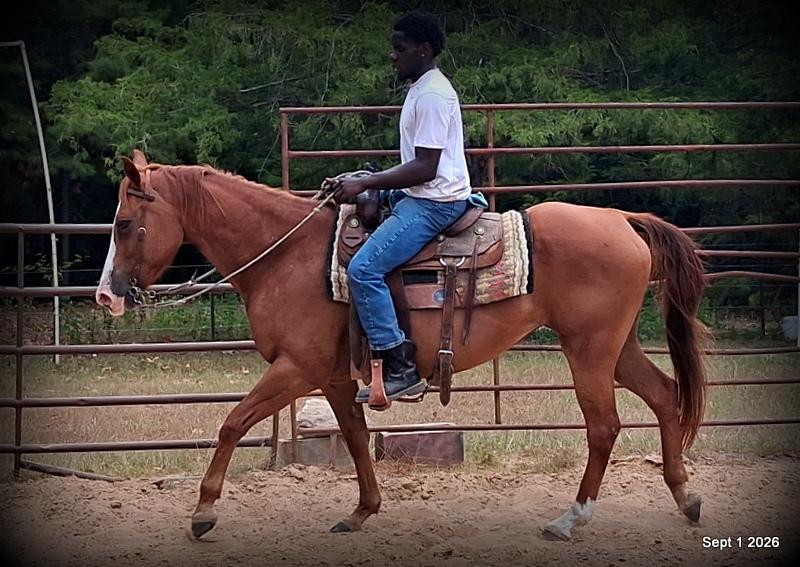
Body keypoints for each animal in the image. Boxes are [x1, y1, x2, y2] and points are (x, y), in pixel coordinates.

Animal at [95, 150, 708, 542]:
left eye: (124, 223)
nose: (106, 295)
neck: (285, 256)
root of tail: (622, 219)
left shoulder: (296, 368)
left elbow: (231, 423)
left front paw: (203, 512)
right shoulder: (333, 378)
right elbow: (356, 439)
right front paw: (361, 512)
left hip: (589, 351)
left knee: (604, 426)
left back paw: (570, 519)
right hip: (615, 348)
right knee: (664, 395)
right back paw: (685, 498)